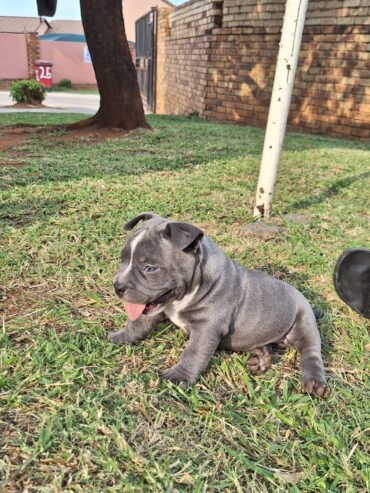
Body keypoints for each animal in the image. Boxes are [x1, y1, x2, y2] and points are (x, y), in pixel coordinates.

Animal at [110, 210, 330, 396]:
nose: (117, 287)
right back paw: (260, 359)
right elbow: (138, 323)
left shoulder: (207, 328)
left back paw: (315, 382)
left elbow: (193, 352)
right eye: (122, 259)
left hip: (304, 324)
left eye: (150, 268)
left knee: (311, 352)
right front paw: (122, 336)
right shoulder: (155, 304)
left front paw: (179, 377)